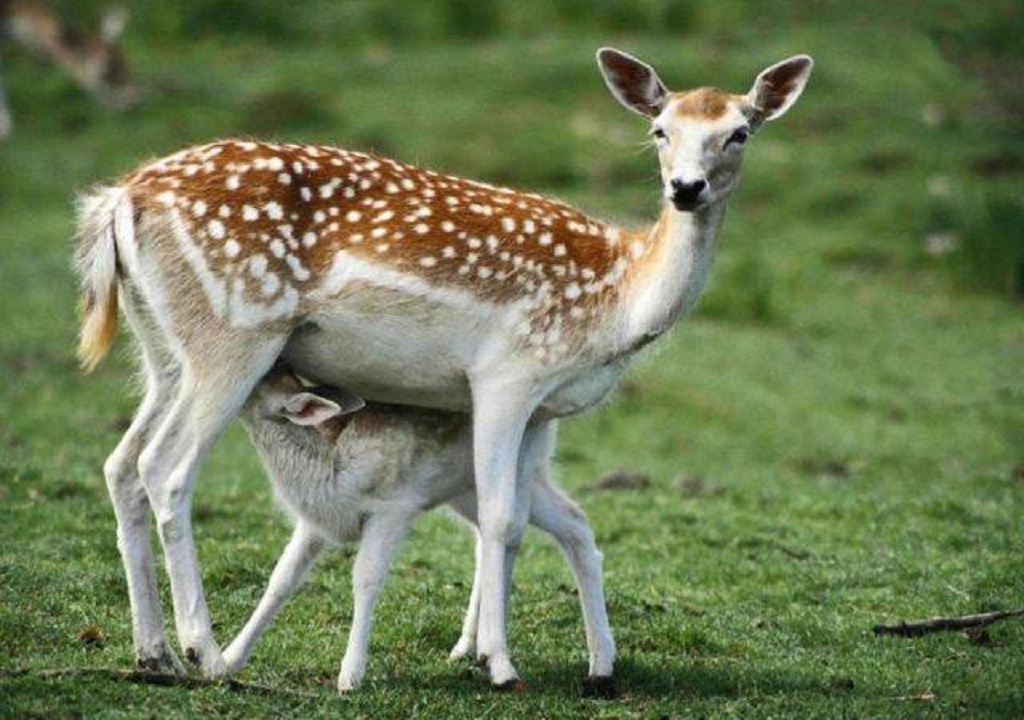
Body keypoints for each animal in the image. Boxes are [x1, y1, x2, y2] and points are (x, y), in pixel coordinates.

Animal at [226, 367, 614, 694]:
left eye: (259, 376)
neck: (330, 468)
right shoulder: (316, 522)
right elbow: (281, 578)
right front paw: (228, 659)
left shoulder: (393, 508)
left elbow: (366, 578)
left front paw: (350, 677)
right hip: (467, 489)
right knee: (536, 527)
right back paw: (468, 647)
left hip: (523, 467)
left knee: (547, 525)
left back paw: (594, 663)